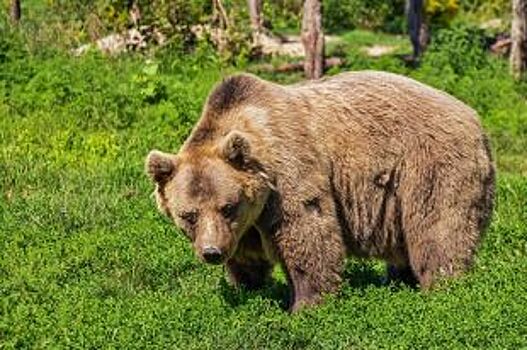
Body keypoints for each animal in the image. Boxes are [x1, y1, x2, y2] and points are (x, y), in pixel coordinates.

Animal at [144, 70, 496, 312]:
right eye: (188, 215)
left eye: (227, 206)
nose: (211, 252)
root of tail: (475, 118)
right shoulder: (246, 222)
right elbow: (246, 255)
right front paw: (247, 288)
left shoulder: (288, 175)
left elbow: (308, 233)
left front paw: (305, 304)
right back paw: (399, 278)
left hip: (429, 165)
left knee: (438, 230)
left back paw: (442, 287)